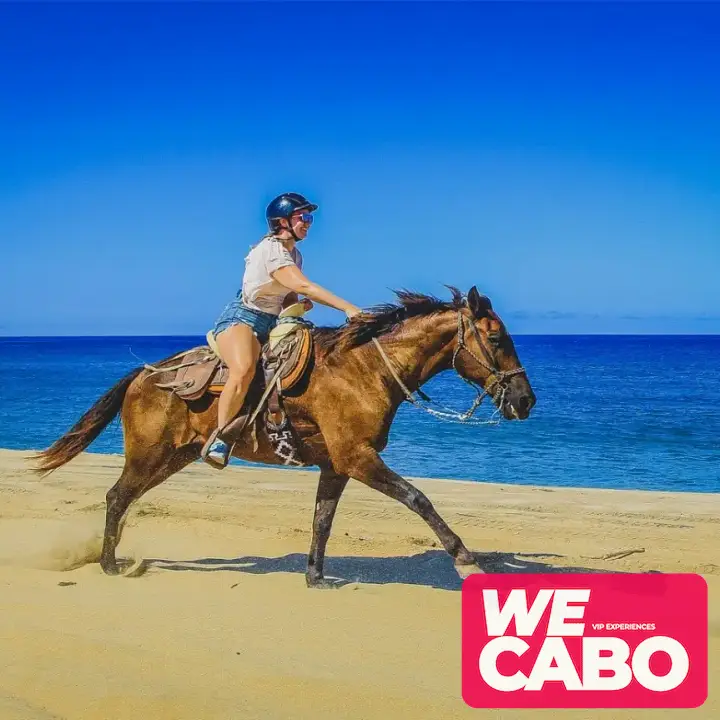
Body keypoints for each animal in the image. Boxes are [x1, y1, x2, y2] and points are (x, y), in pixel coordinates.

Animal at [32, 284, 536, 588]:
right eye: (496, 339)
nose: (525, 400)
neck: (365, 369)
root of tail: (145, 373)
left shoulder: (336, 465)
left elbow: (322, 521)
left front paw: (315, 576)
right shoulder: (358, 458)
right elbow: (419, 499)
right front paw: (465, 560)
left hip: (172, 458)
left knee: (124, 498)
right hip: (149, 455)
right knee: (117, 496)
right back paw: (109, 564)